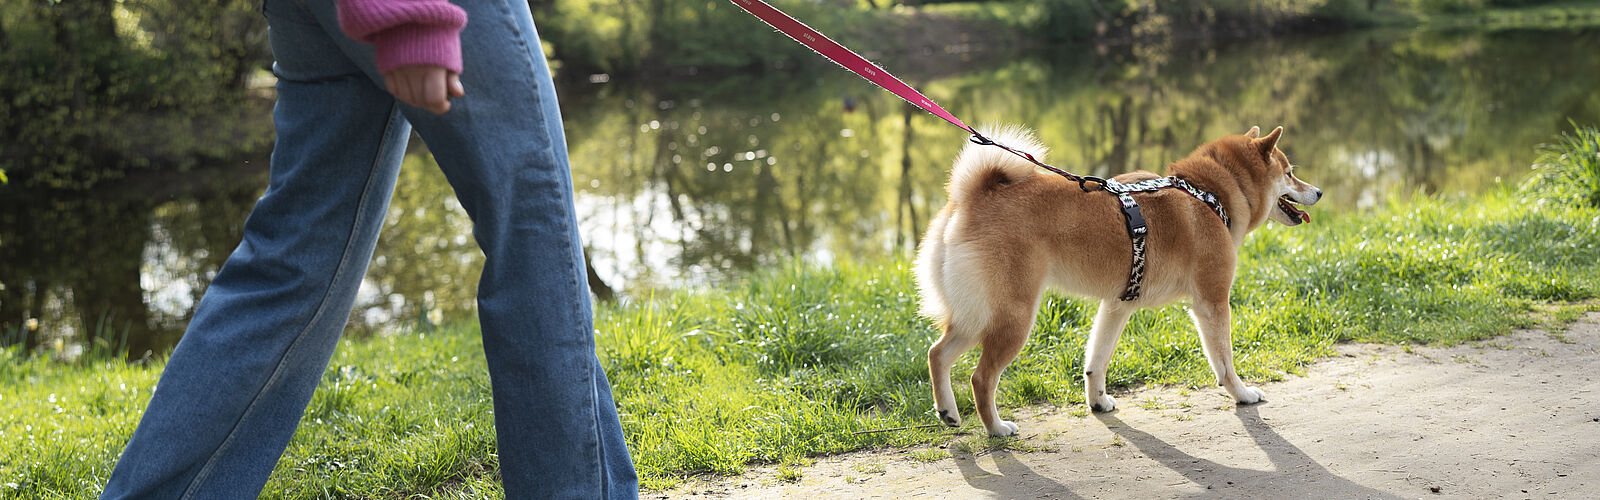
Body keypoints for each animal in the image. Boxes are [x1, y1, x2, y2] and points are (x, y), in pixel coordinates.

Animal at [921, 125, 1318, 435]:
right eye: (1289, 173)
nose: (1319, 191)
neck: (1208, 193)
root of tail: (972, 199)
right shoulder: (1212, 301)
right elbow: (1224, 360)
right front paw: (1242, 394)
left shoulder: (1117, 305)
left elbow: (1096, 360)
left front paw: (1097, 401)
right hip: (1013, 318)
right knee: (980, 378)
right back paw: (996, 428)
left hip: (975, 315)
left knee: (937, 353)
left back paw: (948, 412)